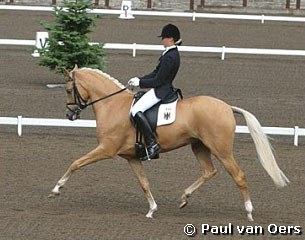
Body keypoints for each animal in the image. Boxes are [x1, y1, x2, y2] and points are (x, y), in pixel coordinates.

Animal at [48, 65, 288, 221]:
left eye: (68, 90)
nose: (70, 115)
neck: (112, 105)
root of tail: (227, 107)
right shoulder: (131, 157)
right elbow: (144, 183)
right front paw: (152, 210)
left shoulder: (106, 149)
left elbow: (76, 163)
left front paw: (56, 189)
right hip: (198, 146)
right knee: (209, 171)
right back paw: (184, 198)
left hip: (221, 149)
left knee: (238, 175)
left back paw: (249, 212)